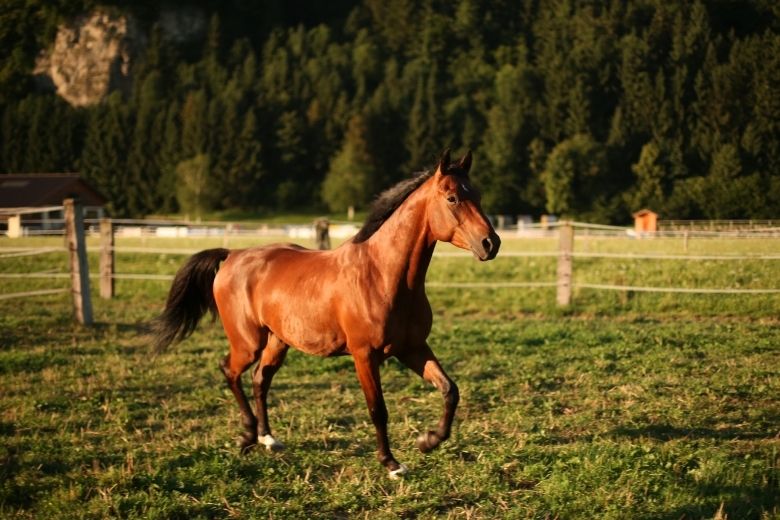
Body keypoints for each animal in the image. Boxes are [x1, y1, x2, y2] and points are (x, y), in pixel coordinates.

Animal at [154, 148, 500, 478]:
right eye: (452, 198)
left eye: (479, 195)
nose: (490, 243)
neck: (382, 275)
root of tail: (232, 255)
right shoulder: (364, 355)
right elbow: (378, 409)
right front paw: (391, 464)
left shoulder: (411, 348)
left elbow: (449, 390)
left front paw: (428, 441)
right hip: (248, 342)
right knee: (230, 371)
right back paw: (248, 436)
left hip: (278, 341)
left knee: (260, 379)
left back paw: (268, 439)